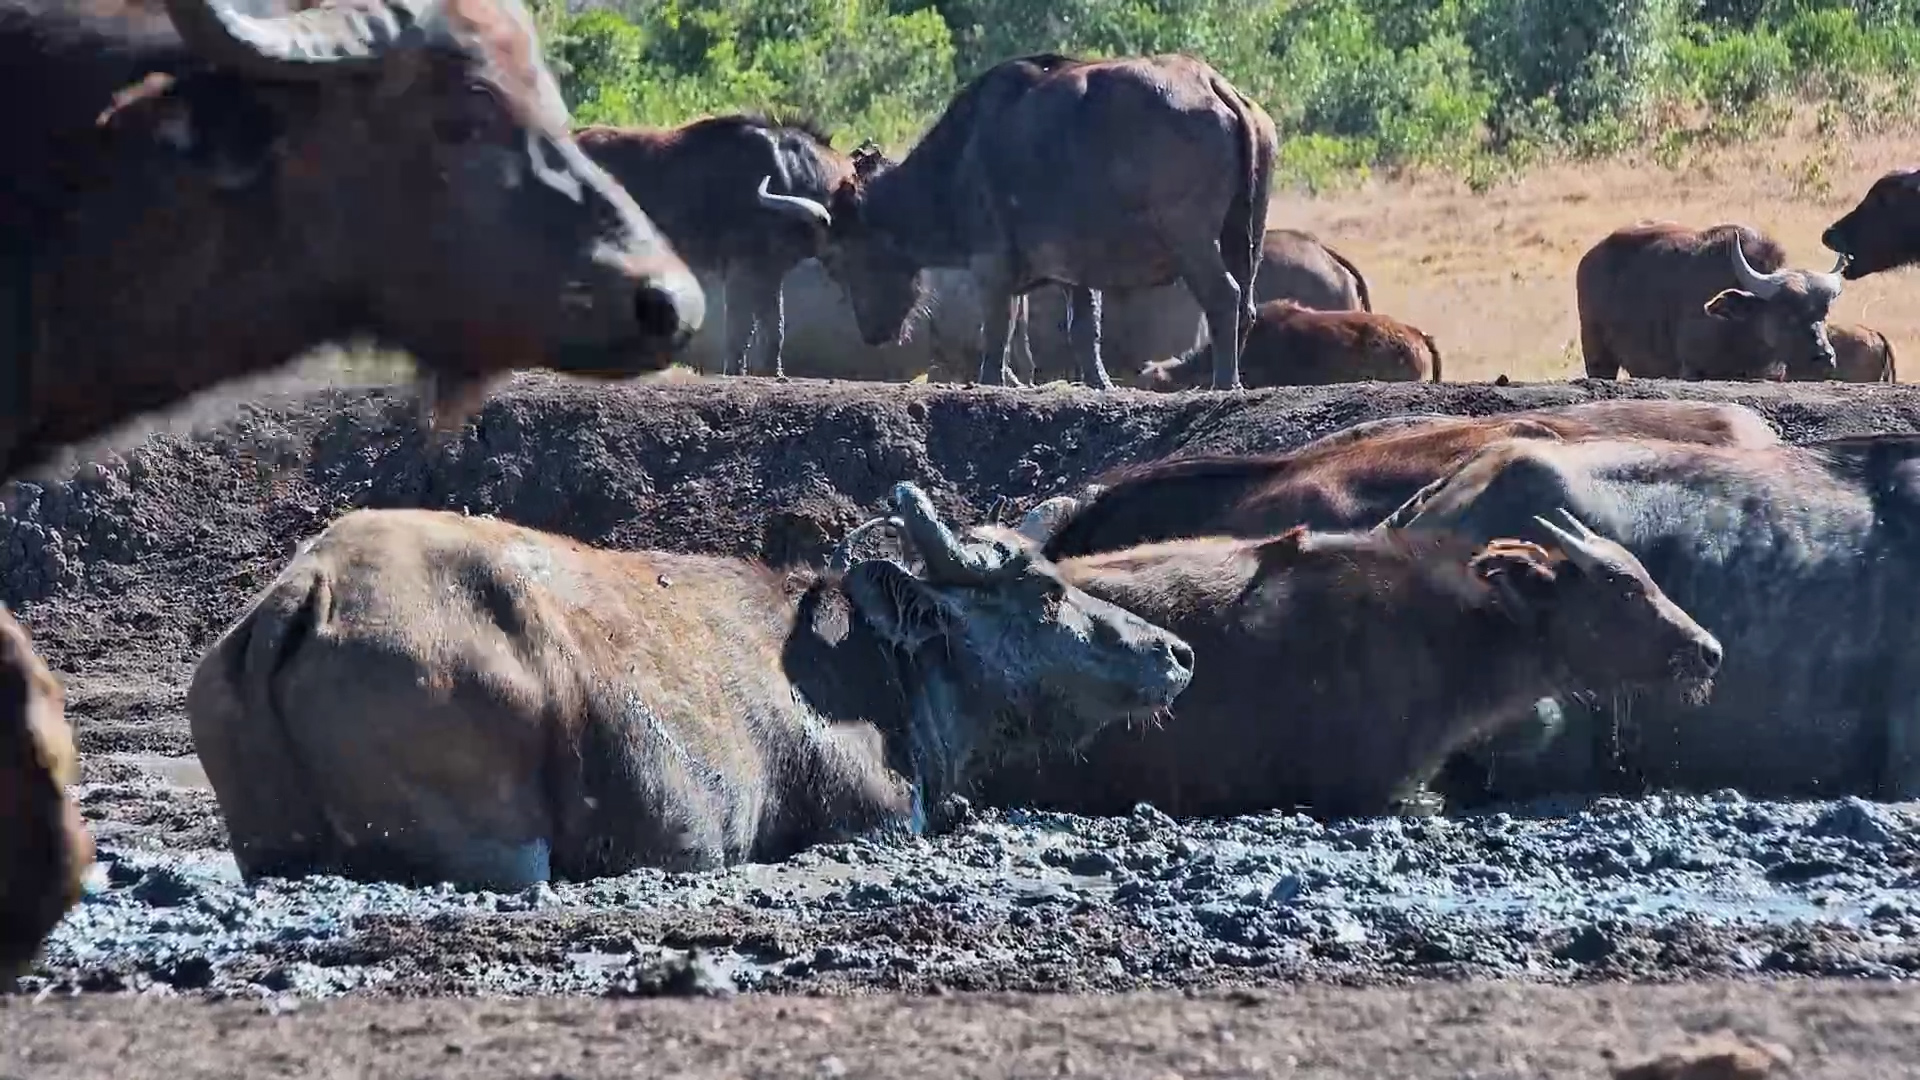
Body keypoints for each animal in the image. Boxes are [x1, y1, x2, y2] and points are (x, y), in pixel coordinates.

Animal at [186, 483, 1194, 887]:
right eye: (1042, 591)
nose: (1176, 653)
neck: (878, 673)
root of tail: (311, 586)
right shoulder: (867, 819)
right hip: (504, 852)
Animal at [576, 114, 852, 379]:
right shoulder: (742, 270)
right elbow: (741, 326)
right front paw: (734, 372)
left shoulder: (771, 273)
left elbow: (773, 325)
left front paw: (774, 373)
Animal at [774, 53, 1277, 391]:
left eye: (838, 261)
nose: (872, 334)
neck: (960, 157)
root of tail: (1215, 85)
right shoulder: (1075, 270)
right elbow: (1080, 328)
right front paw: (1094, 383)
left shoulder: (991, 264)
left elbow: (998, 326)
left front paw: (992, 379)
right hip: (1246, 233)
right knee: (1248, 304)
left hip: (1192, 241)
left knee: (1224, 296)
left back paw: (1222, 381)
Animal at [1575, 222, 1848, 381]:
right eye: (1787, 313)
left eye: (1823, 314)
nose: (1824, 358)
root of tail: (1590, 258)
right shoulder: (1692, 369)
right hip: (1597, 354)